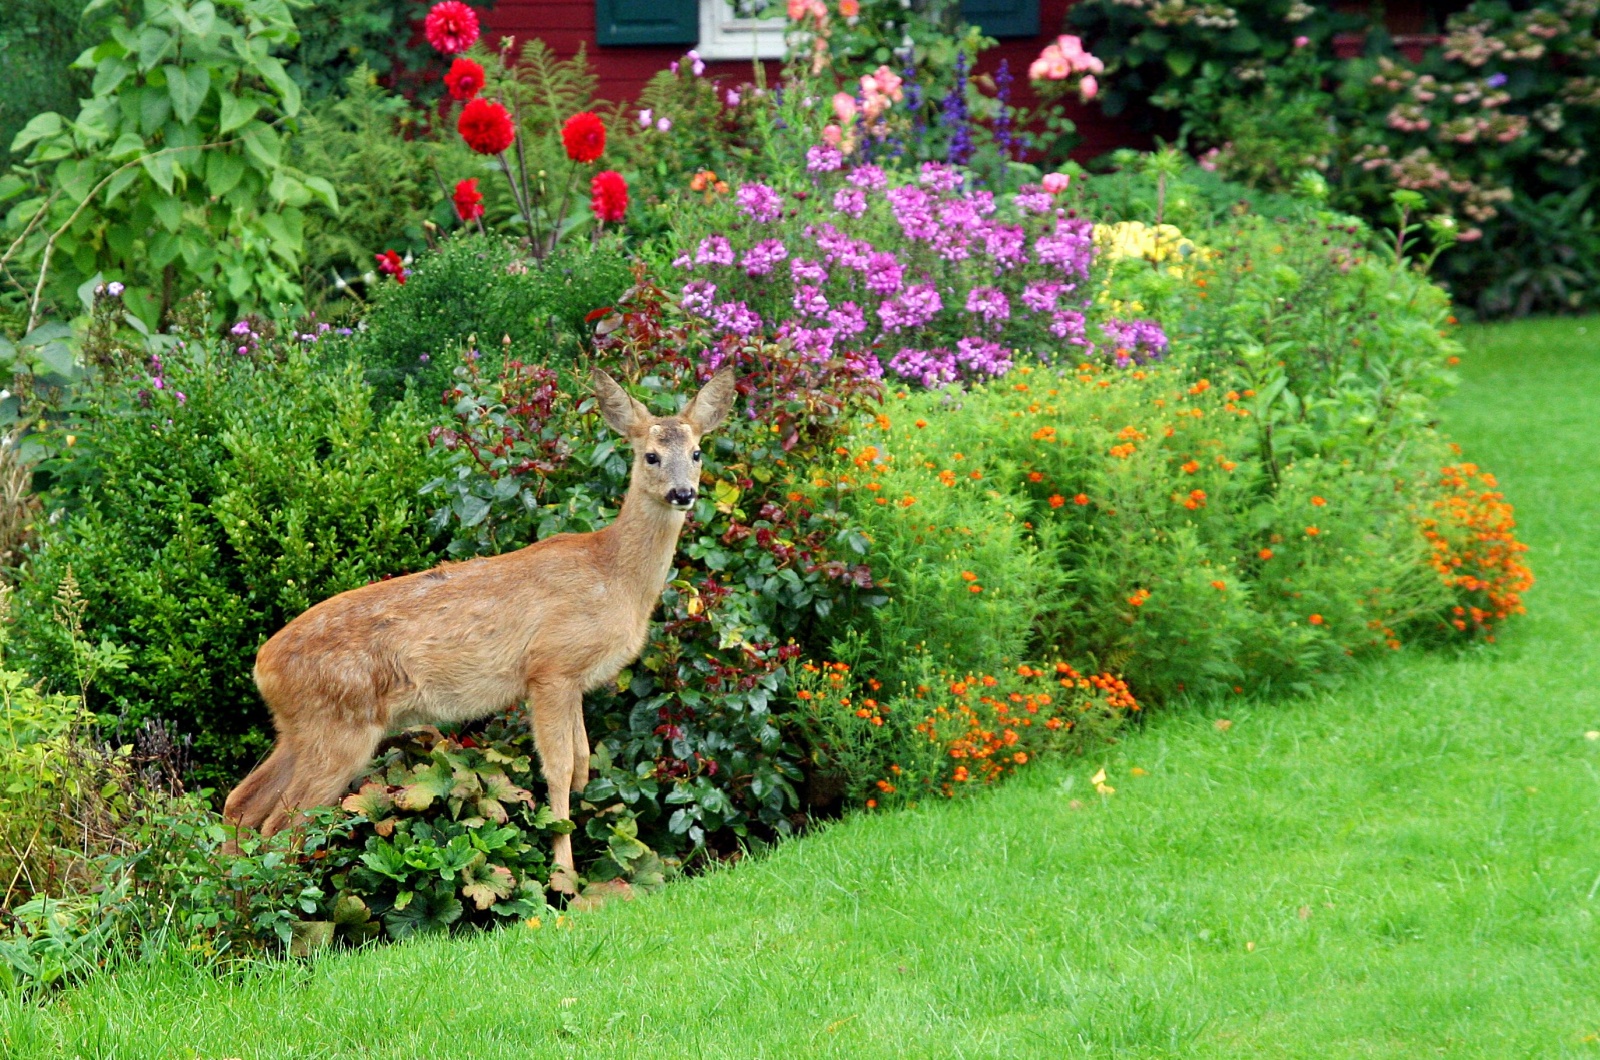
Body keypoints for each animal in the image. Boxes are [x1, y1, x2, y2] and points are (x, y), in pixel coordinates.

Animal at [224, 368, 736, 877]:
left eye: (697, 452)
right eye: (650, 455)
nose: (683, 493)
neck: (614, 575)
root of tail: (262, 665)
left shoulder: (572, 681)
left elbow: (584, 761)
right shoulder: (551, 667)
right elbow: (560, 768)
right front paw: (564, 874)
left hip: (299, 727)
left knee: (241, 802)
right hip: (340, 727)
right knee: (282, 822)